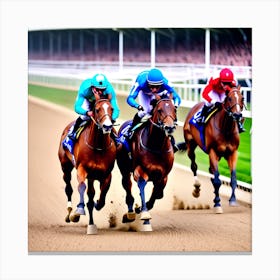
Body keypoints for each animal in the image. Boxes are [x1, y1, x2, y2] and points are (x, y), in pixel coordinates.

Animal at [57, 94, 116, 234]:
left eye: (111, 108)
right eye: (97, 109)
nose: (107, 126)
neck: (98, 146)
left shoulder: (106, 174)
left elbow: (101, 196)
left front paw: (97, 203)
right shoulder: (82, 169)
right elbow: (81, 188)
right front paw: (77, 211)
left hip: (91, 177)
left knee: (90, 196)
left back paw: (91, 223)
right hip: (65, 167)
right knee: (69, 188)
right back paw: (70, 213)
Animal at [116, 95, 177, 231]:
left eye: (174, 109)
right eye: (159, 110)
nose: (169, 127)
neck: (156, 146)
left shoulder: (163, 176)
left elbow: (157, 194)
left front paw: (141, 209)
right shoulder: (140, 171)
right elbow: (142, 186)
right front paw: (143, 213)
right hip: (124, 169)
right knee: (127, 187)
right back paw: (129, 214)